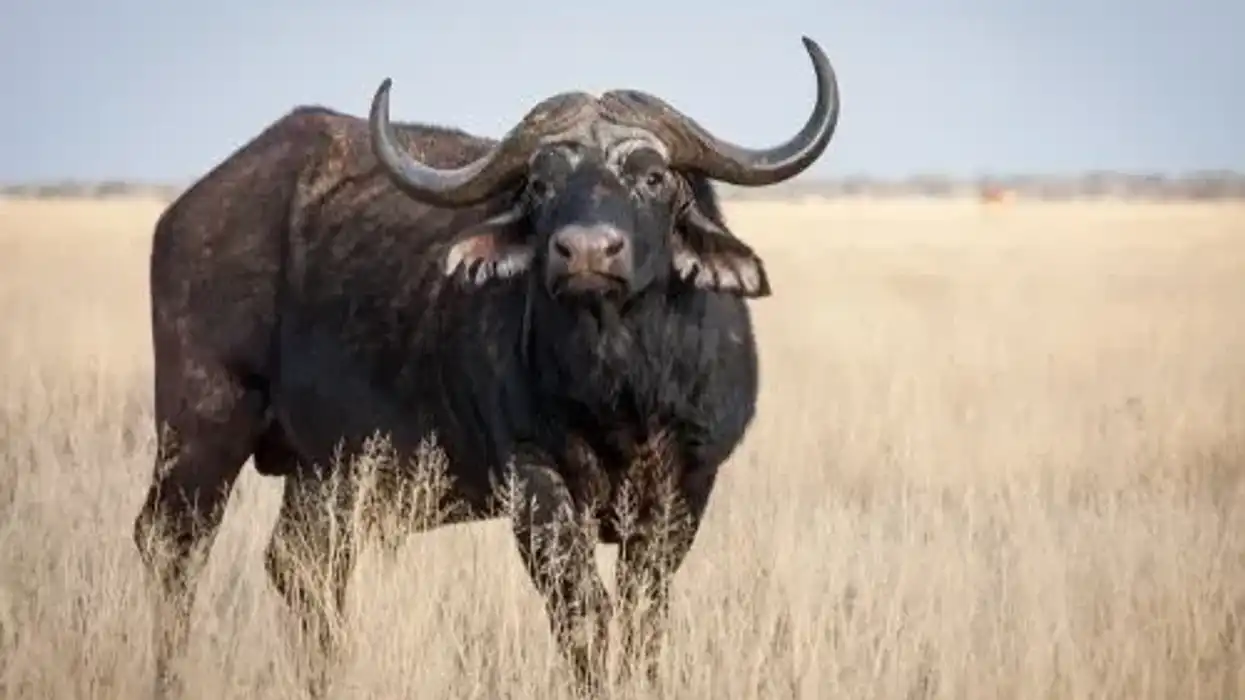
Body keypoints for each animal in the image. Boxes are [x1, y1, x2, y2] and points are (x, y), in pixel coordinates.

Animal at [132, 36, 840, 697]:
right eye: (541, 184)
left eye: (652, 177)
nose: (587, 252)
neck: (619, 386)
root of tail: (189, 211)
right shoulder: (533, 482)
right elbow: (584, 611)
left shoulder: (689, 485)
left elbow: (644, 614)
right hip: (202, 424)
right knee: (172, 546)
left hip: (324, 470)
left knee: (303, 565)